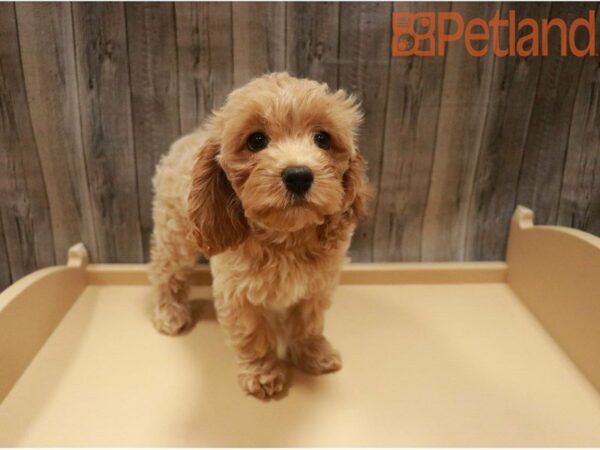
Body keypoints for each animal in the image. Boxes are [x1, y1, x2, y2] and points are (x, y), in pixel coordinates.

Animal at [148, 72, 368, 400]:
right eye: (256, 140)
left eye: (323, 138)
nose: (299, 175)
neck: (286, 237)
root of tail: (184, 140)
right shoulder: (237, 293)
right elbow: (252, 334)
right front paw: (263, 374)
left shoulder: (317, 286)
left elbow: (308, 323)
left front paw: (314, 354)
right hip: (175, 234)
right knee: (165, 271)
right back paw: (169, 312)